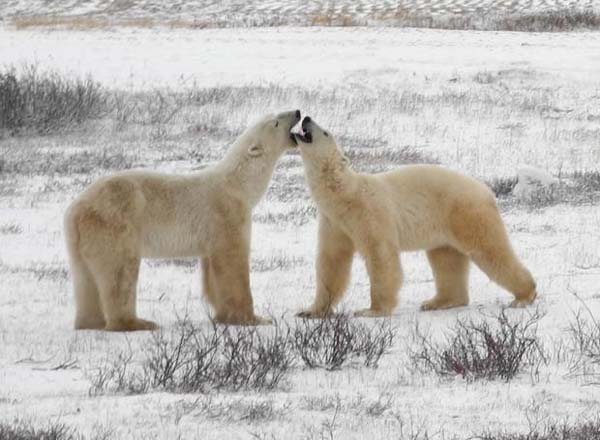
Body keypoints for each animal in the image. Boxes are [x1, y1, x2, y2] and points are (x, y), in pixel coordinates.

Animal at [65, 109, 302, 330]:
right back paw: (137, 323)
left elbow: (212, 270)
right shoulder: (227, 214)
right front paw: (255, 318)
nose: (298, 112)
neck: (238, 185)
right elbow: (232, 260)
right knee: (121, 271)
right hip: (115, 224)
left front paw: (224, 316)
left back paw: (89, 322)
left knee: (84, 278)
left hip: (81, 238)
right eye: (276, 122)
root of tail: (76, 209)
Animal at [292, 115, 536, 318]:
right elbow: (332, 261)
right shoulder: (334, 221)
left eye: (325, 132)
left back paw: (524, 296)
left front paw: (372, 310)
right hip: (444, 226)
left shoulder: (371, 212)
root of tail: (486, 191)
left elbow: (380, 255)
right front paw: (311, 311)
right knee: (446, 260)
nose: (307, 117)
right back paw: (437, 302)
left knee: (490, 250)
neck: (346, 195)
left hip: (466, 213)